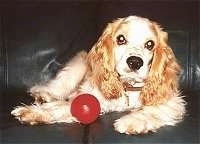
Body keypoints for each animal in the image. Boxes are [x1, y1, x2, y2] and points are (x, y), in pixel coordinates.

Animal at [11, 16, 185, 135]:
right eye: (120, 39)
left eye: (150, 44)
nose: (135, 62)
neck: (128, 86)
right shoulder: (91, 96)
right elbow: (65, 106)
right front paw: (35, 112)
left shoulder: (173, 102)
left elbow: (155, 109)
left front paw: (132, 121)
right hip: (77, 66)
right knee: (58, 87)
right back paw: (43, 95)